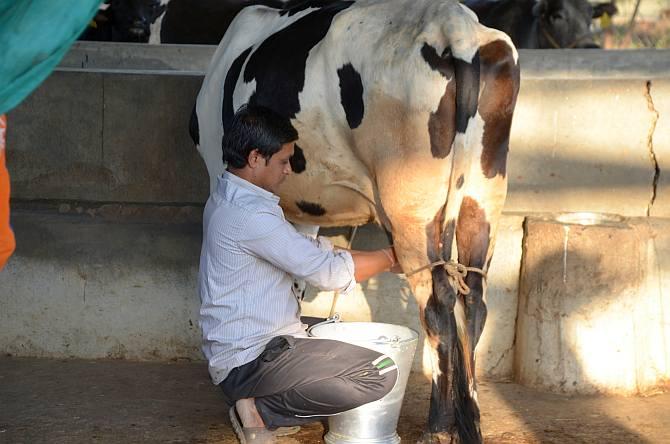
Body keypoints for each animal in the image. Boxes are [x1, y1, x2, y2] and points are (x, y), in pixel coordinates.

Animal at [192, 0, 524, 440]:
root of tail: (456, 25)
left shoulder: (220, 167)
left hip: (410, 201)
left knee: (438, 303)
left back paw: (437, 426)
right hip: (483, 192)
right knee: (474, 299)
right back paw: (470, 420)